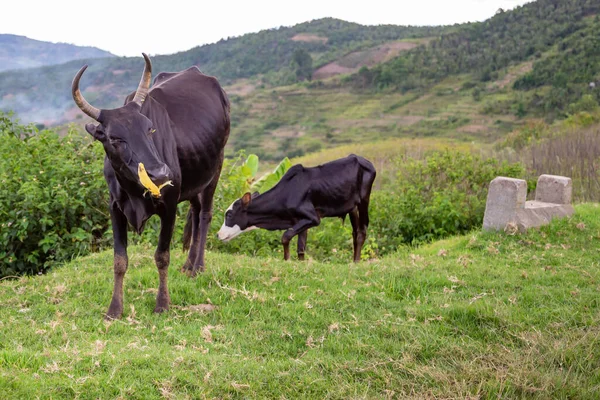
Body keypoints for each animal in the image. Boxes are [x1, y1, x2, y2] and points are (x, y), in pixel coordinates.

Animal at [71, 54, 230, 322]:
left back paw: (198, 267)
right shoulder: (115, 207)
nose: (161, 174)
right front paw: (114, 309)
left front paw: (163, 303)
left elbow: (162, 256)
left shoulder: (169, 205)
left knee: (206, 214)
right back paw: (188, 265)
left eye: (150, 129)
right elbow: (119, 260)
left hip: (215, 167)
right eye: (115, 138)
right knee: (196, 212)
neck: (134, 191)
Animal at [216, 155, 376, 262]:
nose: (218, 235)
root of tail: (363, 160)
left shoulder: (313, 218)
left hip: (364, 200)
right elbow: (301, 247)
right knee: (355, 232)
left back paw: (356, 262)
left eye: (229, 215)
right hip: (352, 208)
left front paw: (286, 259)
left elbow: (285, 236)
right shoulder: (300, 220)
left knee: (362, 231)